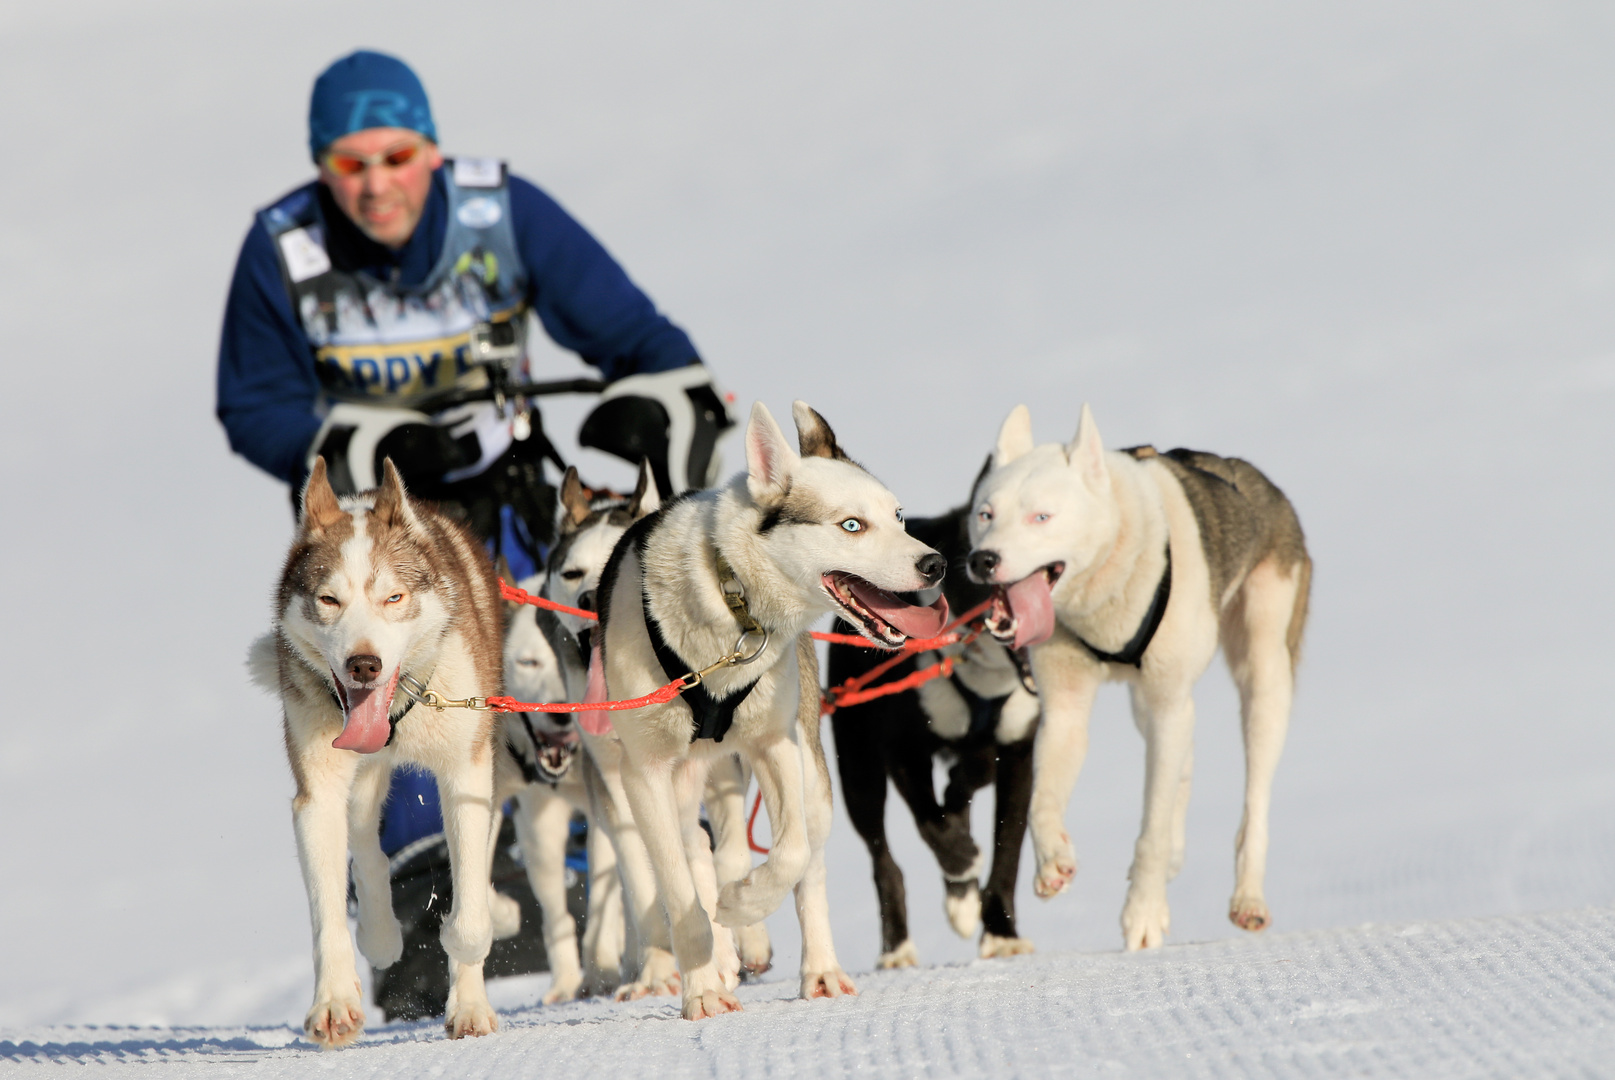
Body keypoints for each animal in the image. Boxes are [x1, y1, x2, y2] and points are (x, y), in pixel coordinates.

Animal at [826, 506, 1040, 968]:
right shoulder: (903, 749)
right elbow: (933, 823)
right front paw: (963, 861)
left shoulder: (1017, 750)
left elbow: (1007, 849)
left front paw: (1002, 935)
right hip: (858, 770)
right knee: (885, 863)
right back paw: (898, 948)